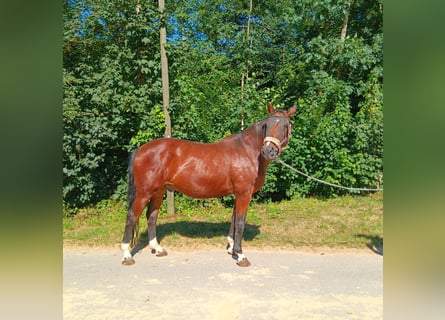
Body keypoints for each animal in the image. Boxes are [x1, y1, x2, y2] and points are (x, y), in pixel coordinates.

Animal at [119, 102, 296, 264]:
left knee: (151, 216)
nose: (268, 151)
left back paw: (157, 249)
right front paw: (240, 255)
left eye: (285, 125)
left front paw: (231, 248)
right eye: (267, 125)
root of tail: (140, 149)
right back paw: (127, 255)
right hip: (144, 193)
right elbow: (240, 222)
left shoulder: (238, 194)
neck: (247, 151)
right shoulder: (244, 194)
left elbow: (233, 219)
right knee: (132, 217)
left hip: (158, 191)